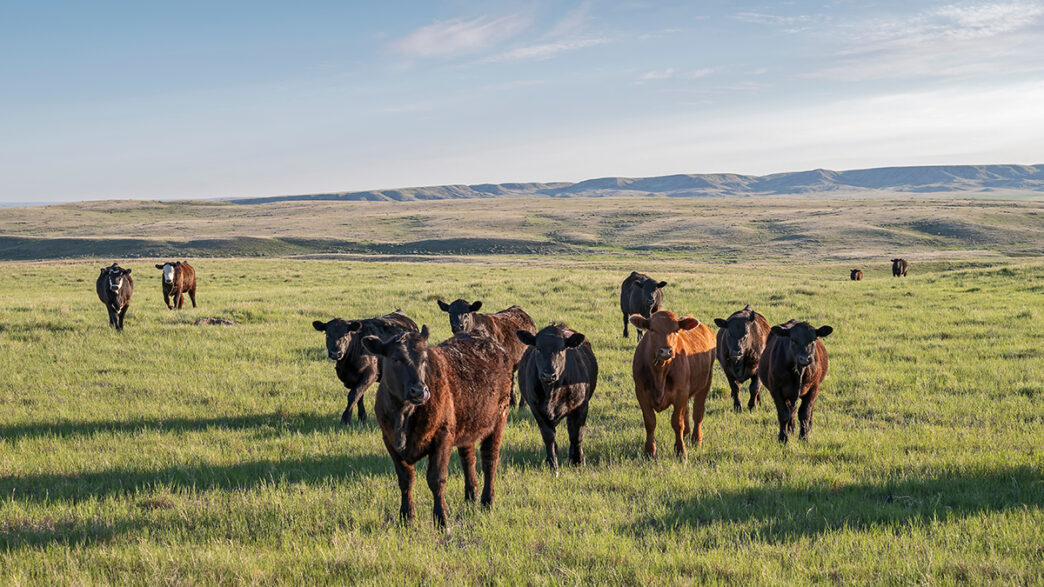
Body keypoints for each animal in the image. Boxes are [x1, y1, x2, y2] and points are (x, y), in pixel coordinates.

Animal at [363, 327, 513, 527]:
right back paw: (470, 497)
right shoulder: (390, 441)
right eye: (396, 359)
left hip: (499, 418)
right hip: (466, 424)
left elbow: (436, 479)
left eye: (424, 359)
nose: (419, 391)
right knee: (469, 459)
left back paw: (487, 501)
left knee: (490, 459)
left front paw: (442, 519)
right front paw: (406, 517)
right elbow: (405, 480)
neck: (403, 415)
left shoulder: (442, 437)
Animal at [516, 323, 598, 473]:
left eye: (561, 349)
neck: (552, 392)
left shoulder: (581, 407)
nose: (549, 374)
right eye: (538, 348)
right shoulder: (537, 409)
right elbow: (548, 436)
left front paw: (578, 461)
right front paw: (551, 463)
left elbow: (577, 434)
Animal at [629, 310, 716, 458]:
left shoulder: (680, 393)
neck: (659, 373)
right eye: (652, 329)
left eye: (676, 330)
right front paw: (649, 451)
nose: (666, 351)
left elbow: (677, 422)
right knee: (687, 411)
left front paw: (680, 451)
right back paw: (686, 434)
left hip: (705, 384)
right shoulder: (640, 392)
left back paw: (696, 439)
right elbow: (650, 422)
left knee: (698, 412)